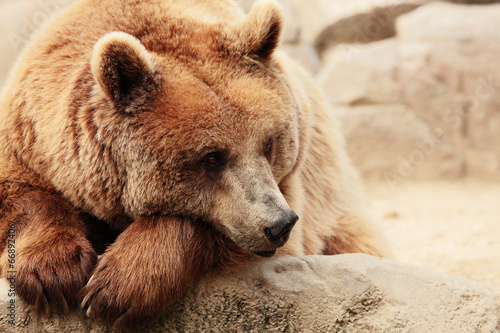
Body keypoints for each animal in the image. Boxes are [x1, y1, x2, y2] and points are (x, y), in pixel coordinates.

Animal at [0, 0, 384, 330]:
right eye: (212, 157)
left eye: (269, 142)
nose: (278, 224)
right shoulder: (31, 135)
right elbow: (20, 194)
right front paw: (53, 274)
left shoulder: (289, 187)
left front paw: (118, 286)